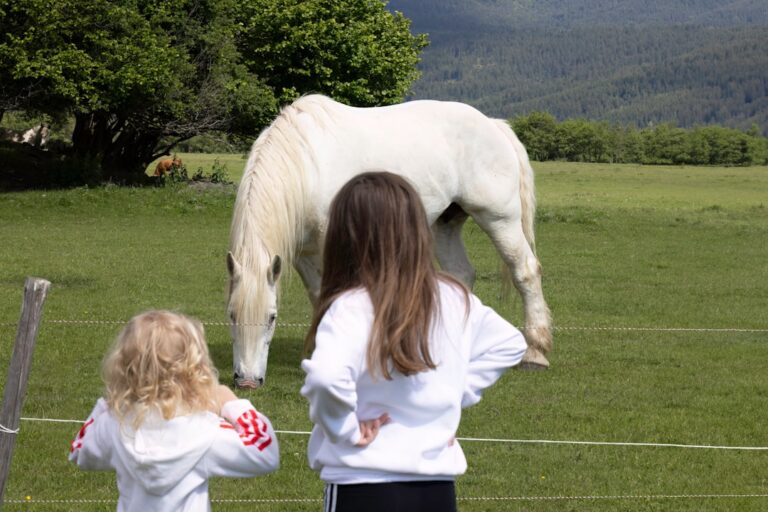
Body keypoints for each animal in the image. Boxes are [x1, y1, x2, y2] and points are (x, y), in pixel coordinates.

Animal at [225, 94, 548, 388]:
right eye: (231, 315)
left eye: (272, 318)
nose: (247, 381)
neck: (308, 163)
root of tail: (493, 125)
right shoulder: (305, 254)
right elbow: (319, 297)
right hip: (445, 225)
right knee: (461, 274)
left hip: (499, 219)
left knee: (525, 271)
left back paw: (536, 353)